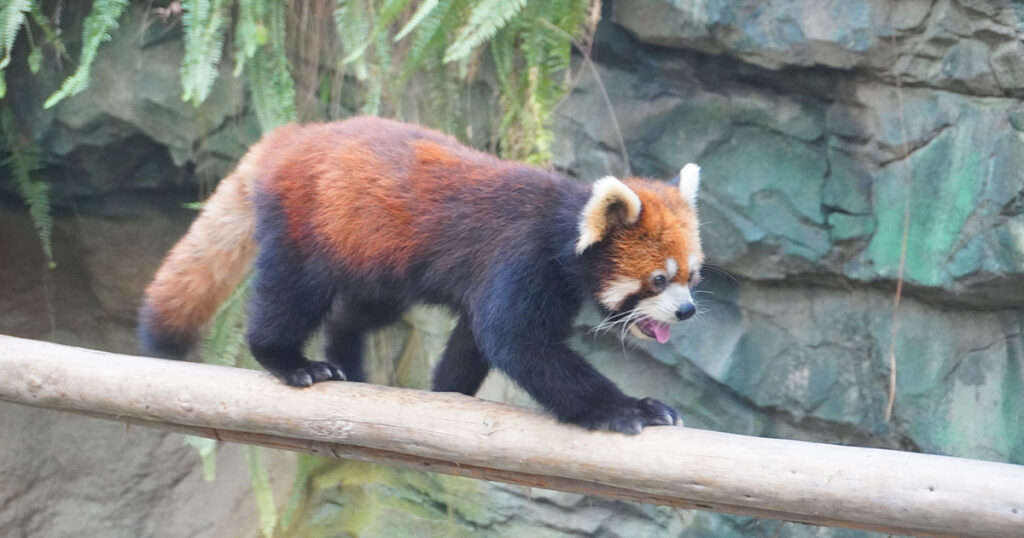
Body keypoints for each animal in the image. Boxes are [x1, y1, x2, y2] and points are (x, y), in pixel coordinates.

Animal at [140, 115, 704, 434]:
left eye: (692, 276)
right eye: (658, 279)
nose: (687, 311)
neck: (563, 227)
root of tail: (295, 136)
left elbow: (476, 339)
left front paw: (446, 394)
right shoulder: (520, 260)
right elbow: (518, 343)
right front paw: (630, 409)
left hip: (376, 264)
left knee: (353, 314)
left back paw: (347, 360)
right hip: (307, 224)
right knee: (290, 296)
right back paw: (291, 362)